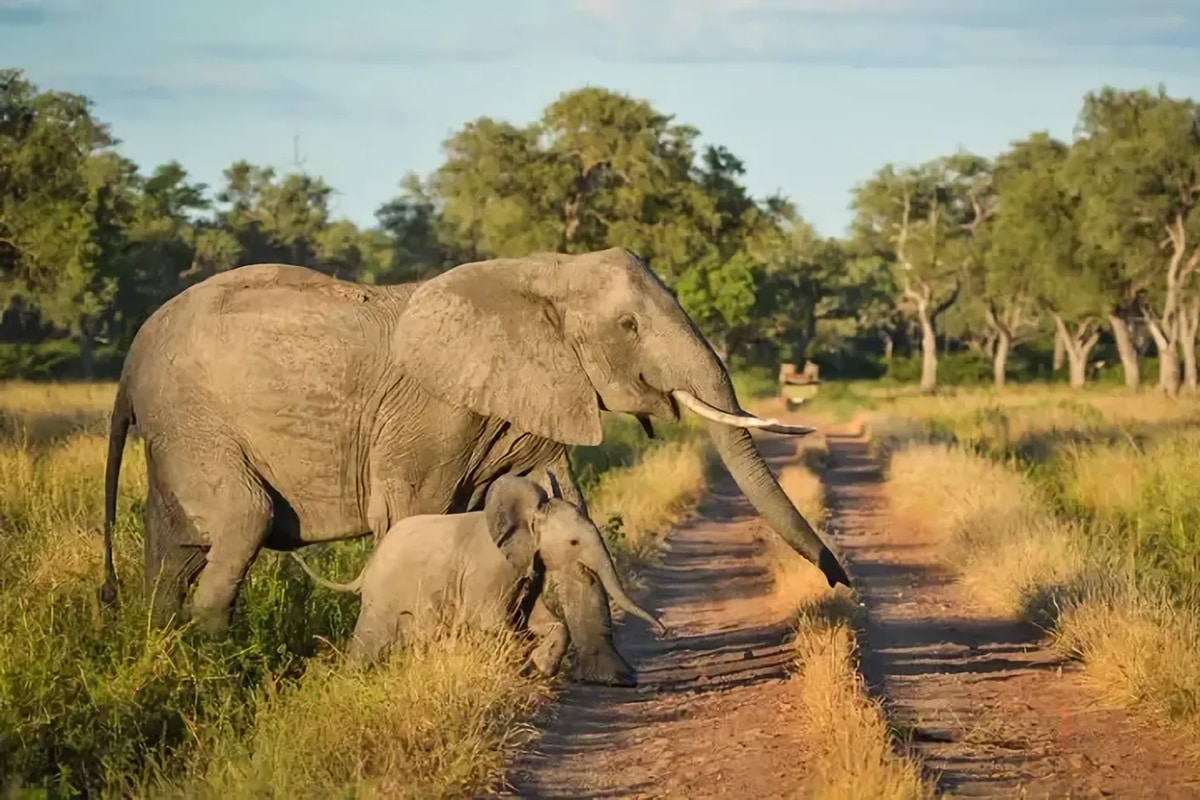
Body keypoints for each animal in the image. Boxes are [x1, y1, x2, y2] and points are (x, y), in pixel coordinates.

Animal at [290, 474, 667, 681]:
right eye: (574, 543)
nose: (664, 630)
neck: (528, 513)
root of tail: (368, 565)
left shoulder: (527, 568)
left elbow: (541, 619)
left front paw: (540, 667)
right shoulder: (490, 569)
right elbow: (492, 622)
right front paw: (524, 667)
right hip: (383, 597)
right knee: (370, 640)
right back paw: (352, 682)